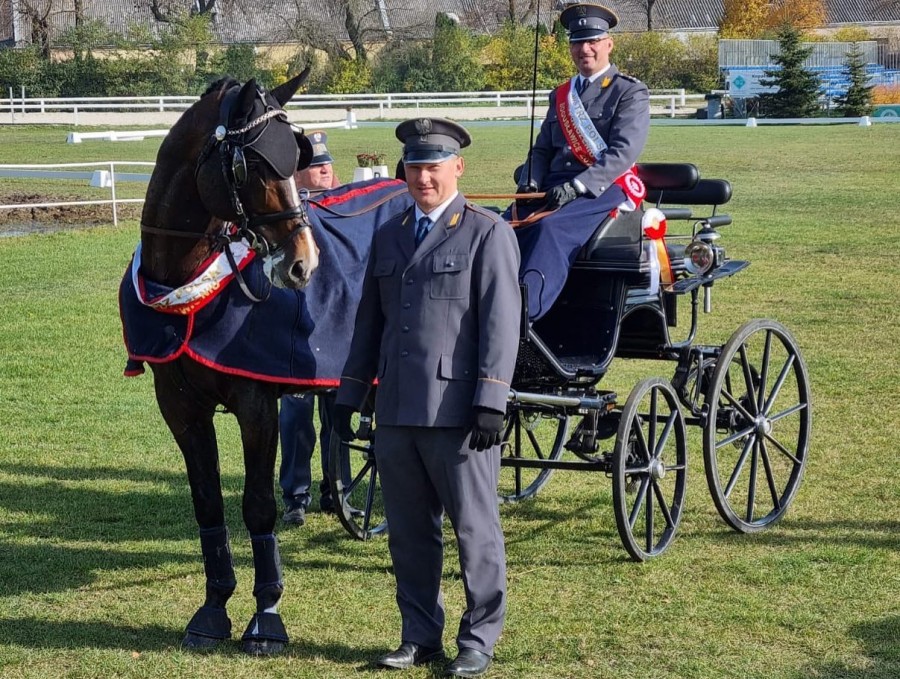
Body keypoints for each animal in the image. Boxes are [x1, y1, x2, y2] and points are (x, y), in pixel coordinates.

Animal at [141, 71, 320, 656]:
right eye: (254, 166)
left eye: (296, 156)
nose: (303, 263)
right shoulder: (180, 409)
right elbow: (209, 505)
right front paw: (214, 608)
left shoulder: (257, 405)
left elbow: (257, 505)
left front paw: (266, 616)